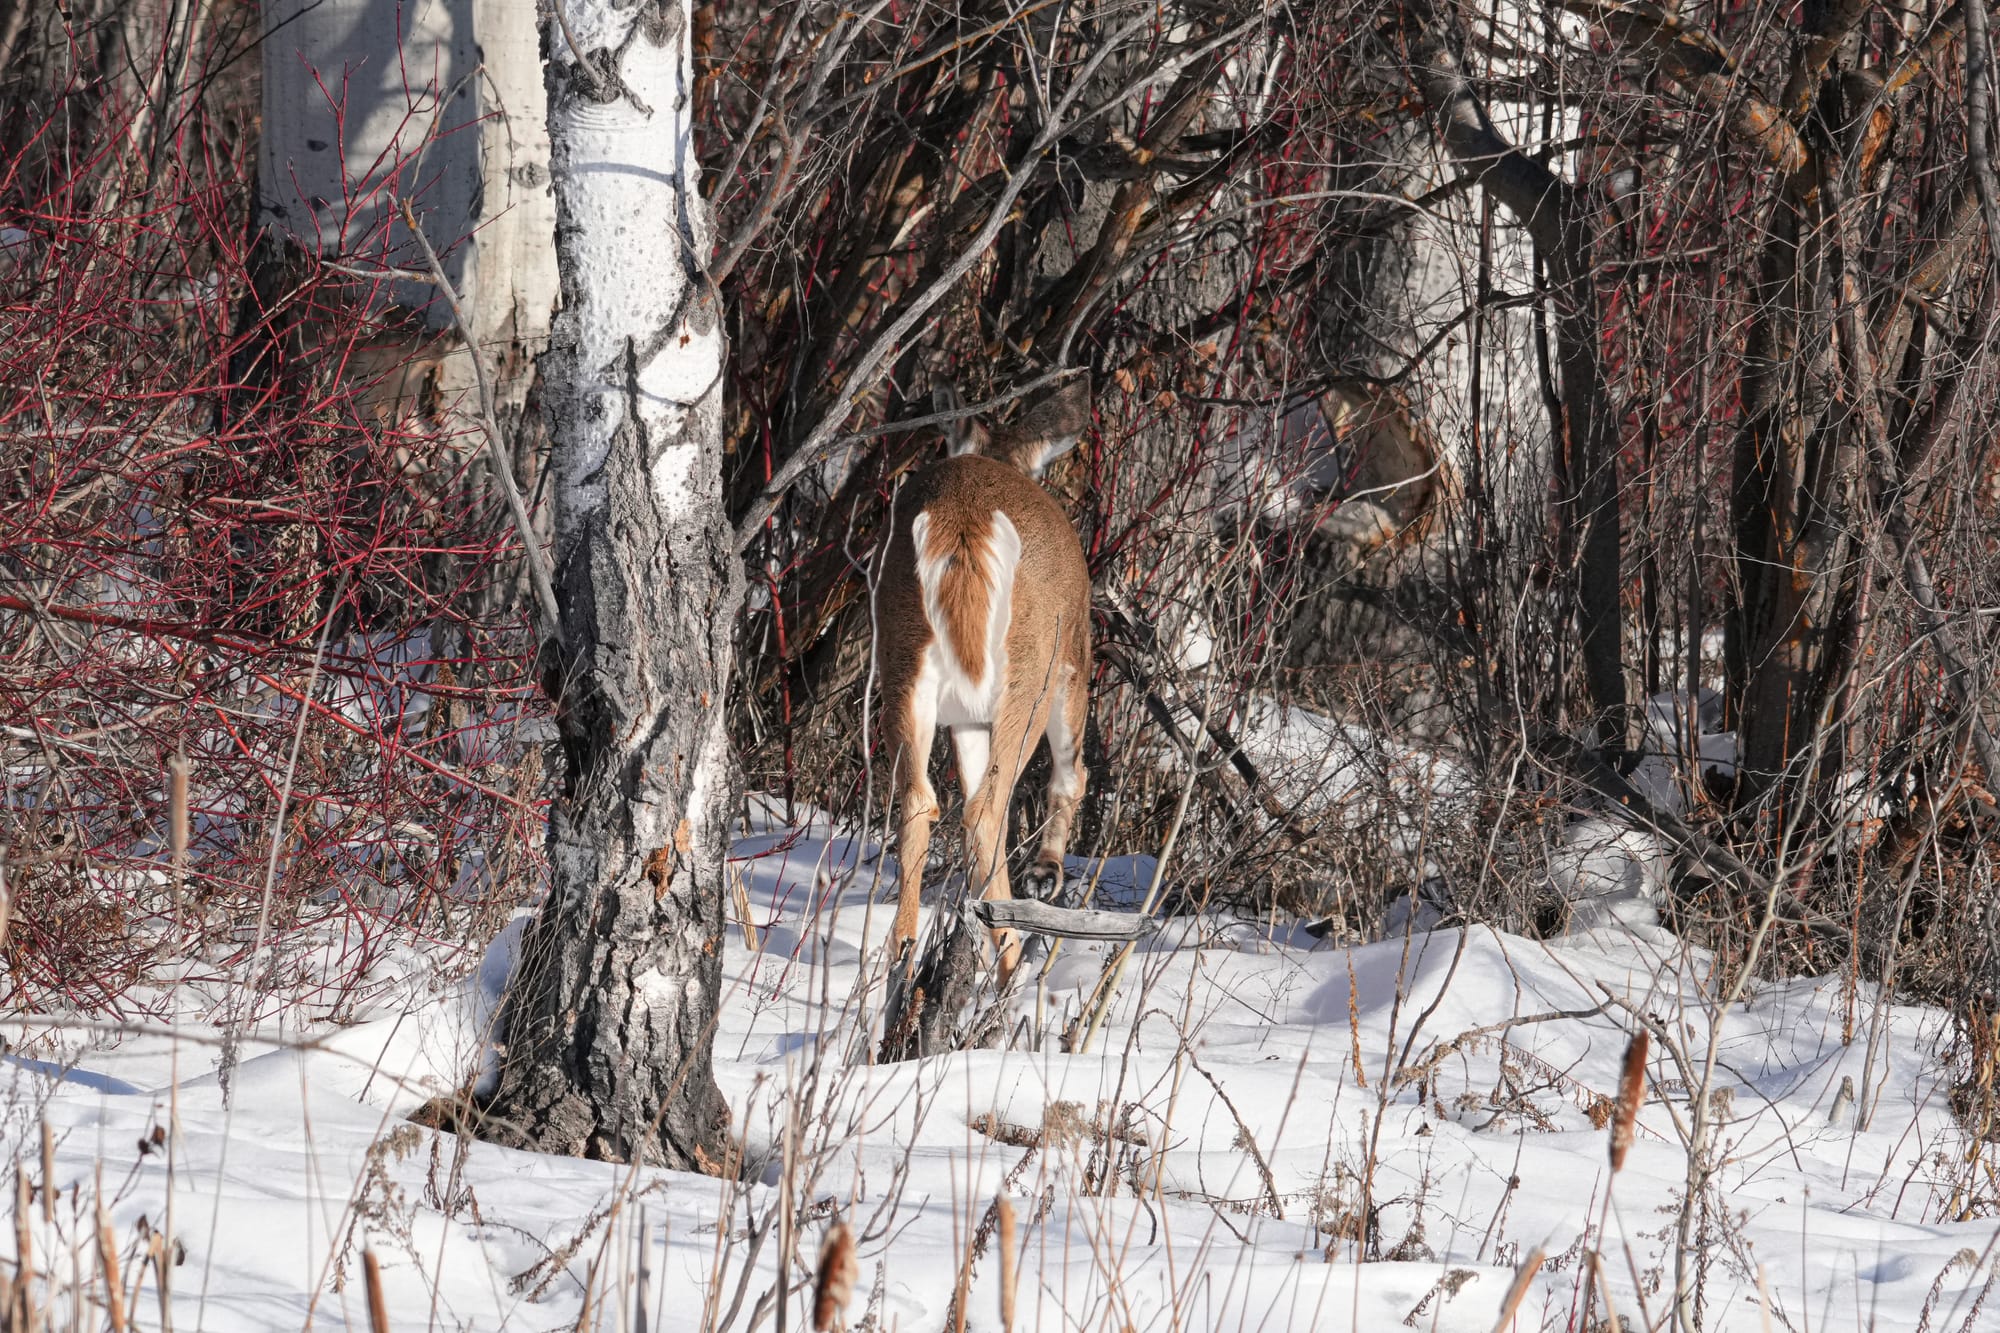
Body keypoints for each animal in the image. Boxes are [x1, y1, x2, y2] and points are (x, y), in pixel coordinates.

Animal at [874, 377, 1093, 984]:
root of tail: (962, 524)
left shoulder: (965, 718)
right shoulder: (1074, 661)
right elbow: (1072, 775)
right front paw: (1047, 873)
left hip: (903, 666)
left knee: (921, 801)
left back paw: (903, 955)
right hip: (1033, 671)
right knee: (993, 806)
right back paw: (1011, 960)